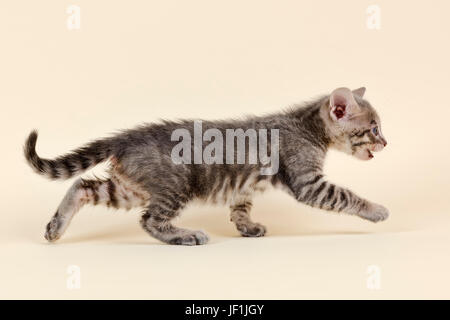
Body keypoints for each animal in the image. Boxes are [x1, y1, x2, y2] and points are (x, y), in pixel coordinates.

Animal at [24, 87, 388, 245]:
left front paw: (247, 227)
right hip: (175, 185)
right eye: (373, 129)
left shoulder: (244, 185)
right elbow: (346, 196)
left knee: (82, 186)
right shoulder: (308, 182)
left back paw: (56, 227)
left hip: (129, 187)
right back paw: (184, 235)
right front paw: (377, 210)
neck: (307, 127)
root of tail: (126, 138)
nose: (386, 143)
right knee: (149, 220)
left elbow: (240, 206)